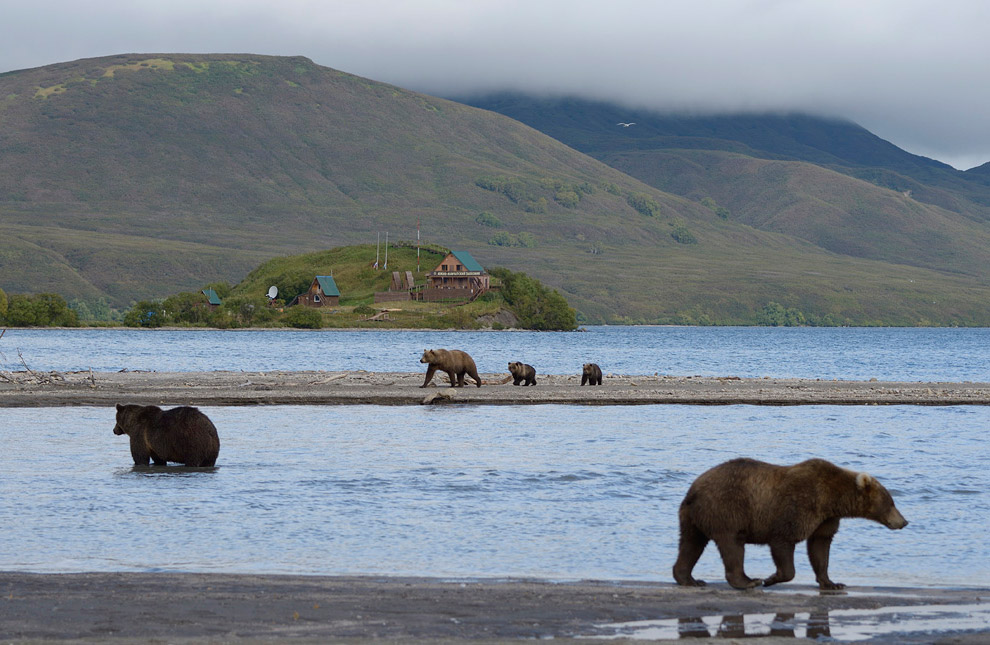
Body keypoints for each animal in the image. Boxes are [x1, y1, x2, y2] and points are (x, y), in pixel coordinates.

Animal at [672, 458, 912, 588]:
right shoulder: (798, 506)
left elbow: (820, 548)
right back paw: (748, 581)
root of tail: (693, 489)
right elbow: (784, 541)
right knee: (732, 545)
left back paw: (689, 578)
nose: (904, 521)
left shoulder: (825, 519)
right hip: (727, 509)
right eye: (891, 502)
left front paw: (832, 583)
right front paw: (771, 578)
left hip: (693, 517)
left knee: (691, 543)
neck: (832, 499)